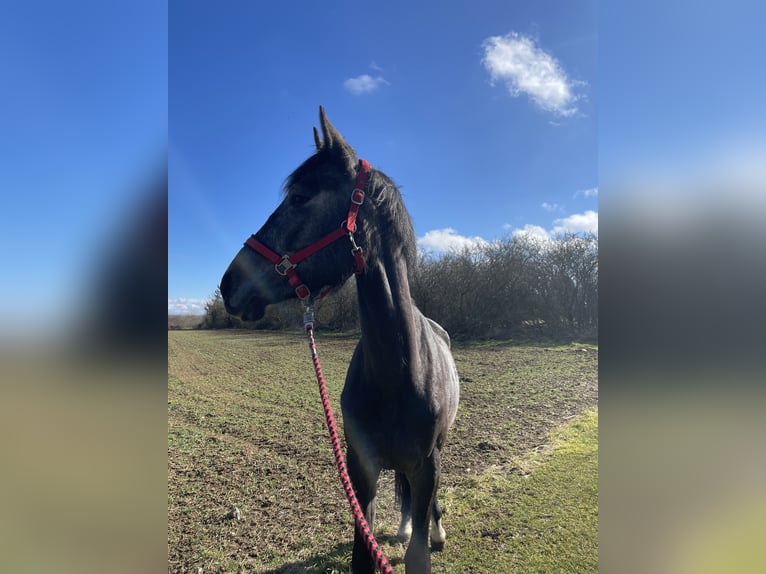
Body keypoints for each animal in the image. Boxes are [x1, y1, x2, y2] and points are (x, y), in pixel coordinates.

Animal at [222, 106, 462, 572]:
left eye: (300, 198)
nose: (229, 284)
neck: (398, 373)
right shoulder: (361, 469)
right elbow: (362, 555)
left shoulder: (427, 466)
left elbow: (418, 552)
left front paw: (429, 535)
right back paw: (404, 525)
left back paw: (435, 529)